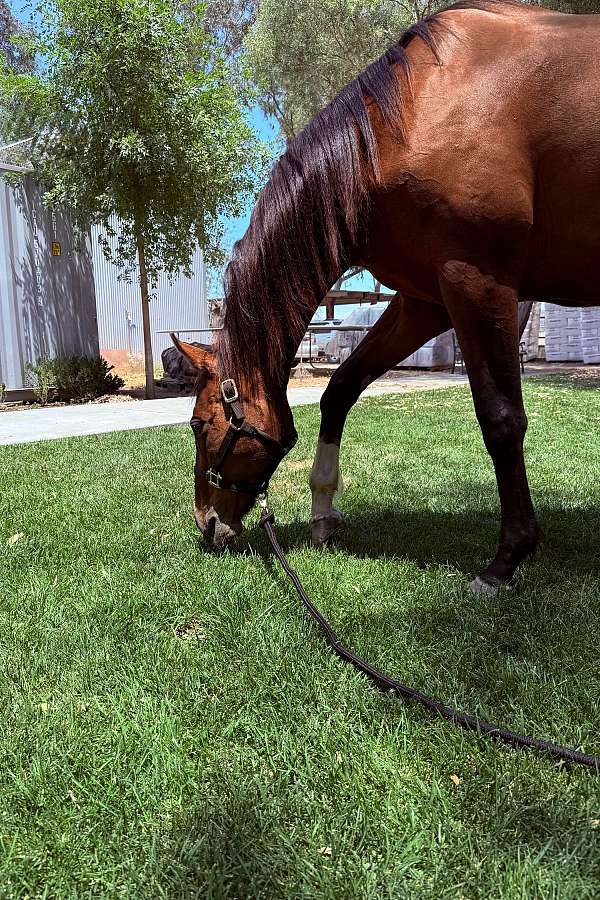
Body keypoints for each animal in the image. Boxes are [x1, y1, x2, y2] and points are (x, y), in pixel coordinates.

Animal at [173, 0, 600, 593]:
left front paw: (508, 557)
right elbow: (340, 388)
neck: (416, 114)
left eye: (198, 424)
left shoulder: (477, 283)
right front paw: (324, 512)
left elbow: (502, 420)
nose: (208, 525)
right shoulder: (425, 301)